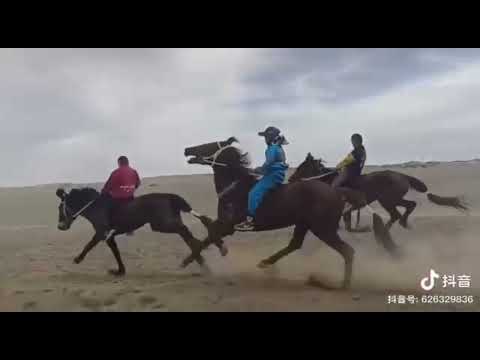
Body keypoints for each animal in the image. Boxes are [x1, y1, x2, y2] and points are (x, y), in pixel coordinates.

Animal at [55, 187, 212, 278]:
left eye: (60, 208)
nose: (60, 226)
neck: (96, 206)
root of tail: (170, 197)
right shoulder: (109, 236)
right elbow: (116, 252)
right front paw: (120, 271)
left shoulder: (101, 233)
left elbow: (89, 245)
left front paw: (77, 259)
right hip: (165, 223)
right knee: (185, 233)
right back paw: (200, 260)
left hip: (161, 224)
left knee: (184, 231)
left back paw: (197, 254)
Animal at [180, 136, 390, 288]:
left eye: (207, 145)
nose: (187, 149)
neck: (235, 187)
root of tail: (337, 191)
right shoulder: (223, 223)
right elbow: (209, 231)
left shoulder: (228, 225)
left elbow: (209, 235)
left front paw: (189, 261)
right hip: (305, 224)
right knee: (295, 244)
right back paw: (266, 263)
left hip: (323, 229)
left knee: (347, 251)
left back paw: (342, 285)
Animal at [288, 151, 468, 231]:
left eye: (302, 166)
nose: (290, 179)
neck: (329, 180)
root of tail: (402, 175)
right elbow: (346, 222)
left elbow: (344, 221)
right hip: (390, 200)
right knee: (404, 209)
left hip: (388, 200)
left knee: (402, 210)